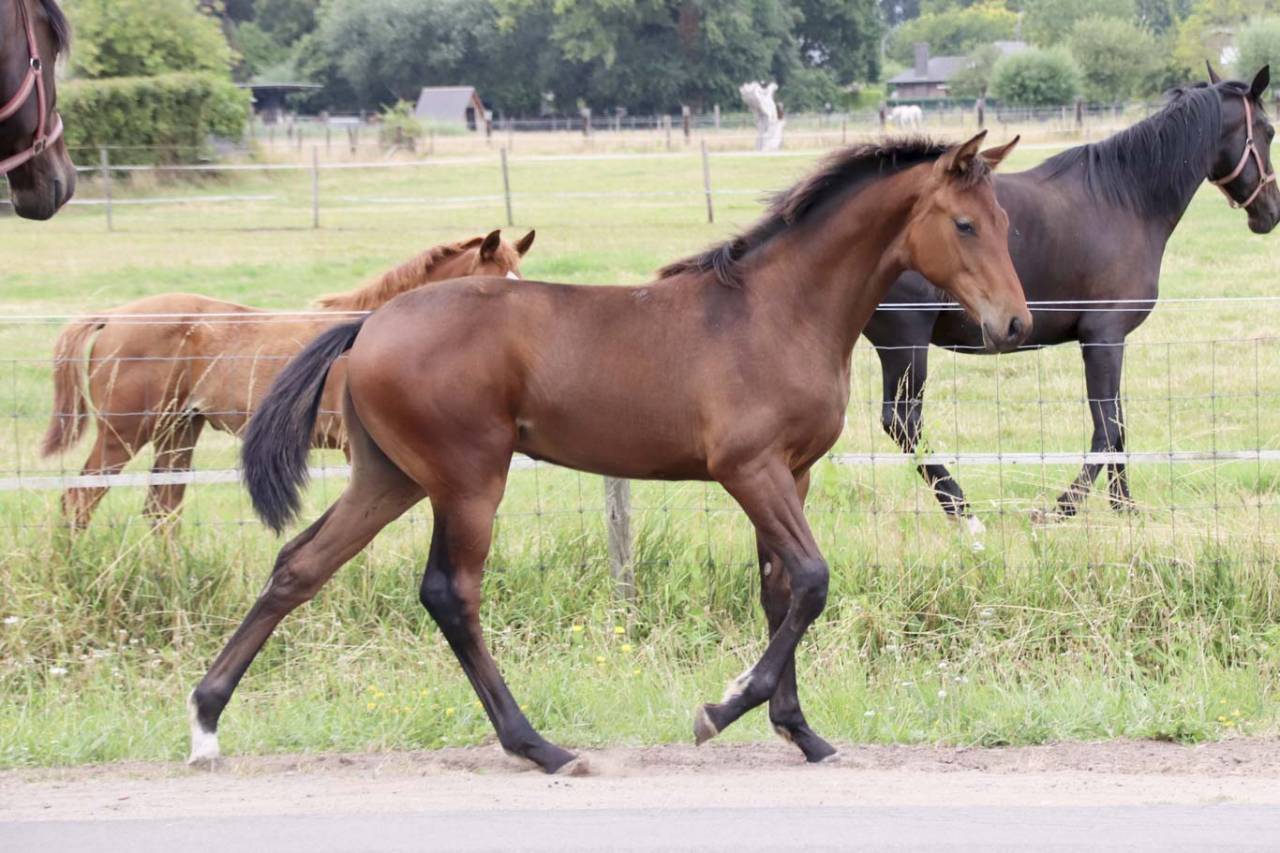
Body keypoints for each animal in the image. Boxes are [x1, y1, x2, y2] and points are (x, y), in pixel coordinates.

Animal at [186, 133, 1031, 774]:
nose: (1015, 324)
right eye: (963, 224)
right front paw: (720, 707)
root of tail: (368, 326)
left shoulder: (793, 473)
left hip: (389, 477)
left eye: (1005, 221)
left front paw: (802, 731)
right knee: (450, 593)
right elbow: (813, 580)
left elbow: (783, 590)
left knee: (299, 565)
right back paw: (540, 746)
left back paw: (205, 720)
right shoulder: (748, 469)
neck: (776, 311)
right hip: (468, 478)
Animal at [863, 68, 1279, 531]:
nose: (1270, 212)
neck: (1125, 199)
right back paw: (960, 507)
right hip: (906, 344)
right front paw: (1063, 507)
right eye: (1269, 131)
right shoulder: (1104, 336)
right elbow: (1107, 427)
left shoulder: (1109, 341)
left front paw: (1124, 507)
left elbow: (1117, 423)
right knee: (902, 421)